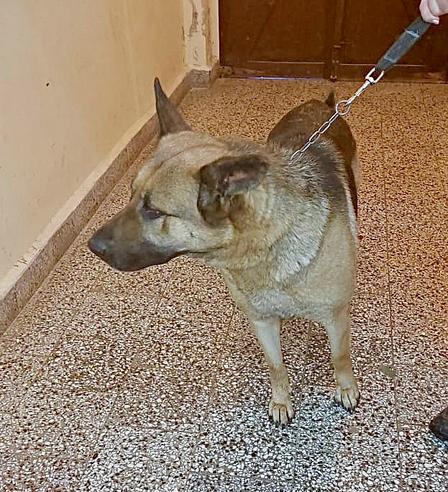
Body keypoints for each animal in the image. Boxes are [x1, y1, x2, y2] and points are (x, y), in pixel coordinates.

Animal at [89, 78, 360, 425]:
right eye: (131, 195)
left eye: (154, 210)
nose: (92, 246)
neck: (264, 247)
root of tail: (320, 103)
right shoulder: (261, 321)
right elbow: (276, 366)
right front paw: (281, 400)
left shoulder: (335, 317)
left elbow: (340, 356)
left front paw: (346, 388)